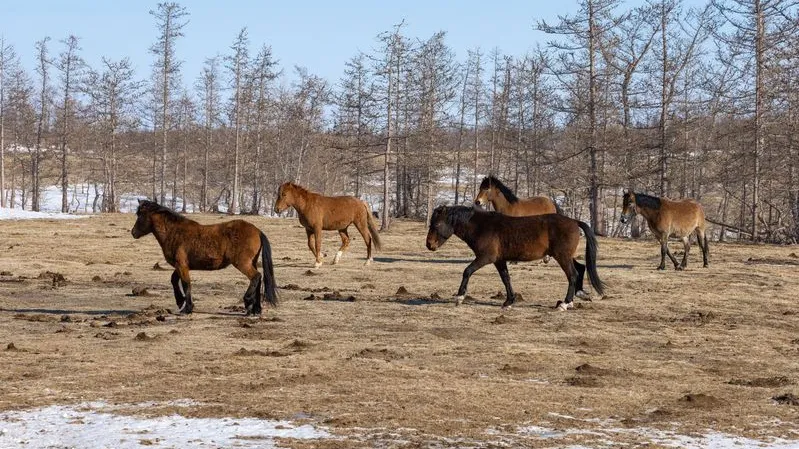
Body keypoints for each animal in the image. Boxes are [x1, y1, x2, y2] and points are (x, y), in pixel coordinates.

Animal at [131, 200, 278, 316]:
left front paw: (187, 308)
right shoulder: (181, 265)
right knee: (258, 280)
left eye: (140, 215)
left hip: (242, 263)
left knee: (256, 277)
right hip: (252, 262)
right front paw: (180, 302)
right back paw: (256, 310)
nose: (133, 232)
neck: (175, 233)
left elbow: (186, 284)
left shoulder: (182, 265)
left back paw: (248, 302)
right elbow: (174, 280)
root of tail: (257, 231)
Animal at [424, 205, 608, 310]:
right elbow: (506, 279)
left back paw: (565, 303)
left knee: (572, 274)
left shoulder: (486, 258)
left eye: (437, 224)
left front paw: (460, 297)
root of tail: (574, 221)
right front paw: (509, 301)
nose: (429, 245)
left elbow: (467, 271)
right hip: (565, 256)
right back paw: (579, 295)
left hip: (562, 256)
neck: (482, 226)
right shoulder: (499, 260)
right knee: (580, 268)